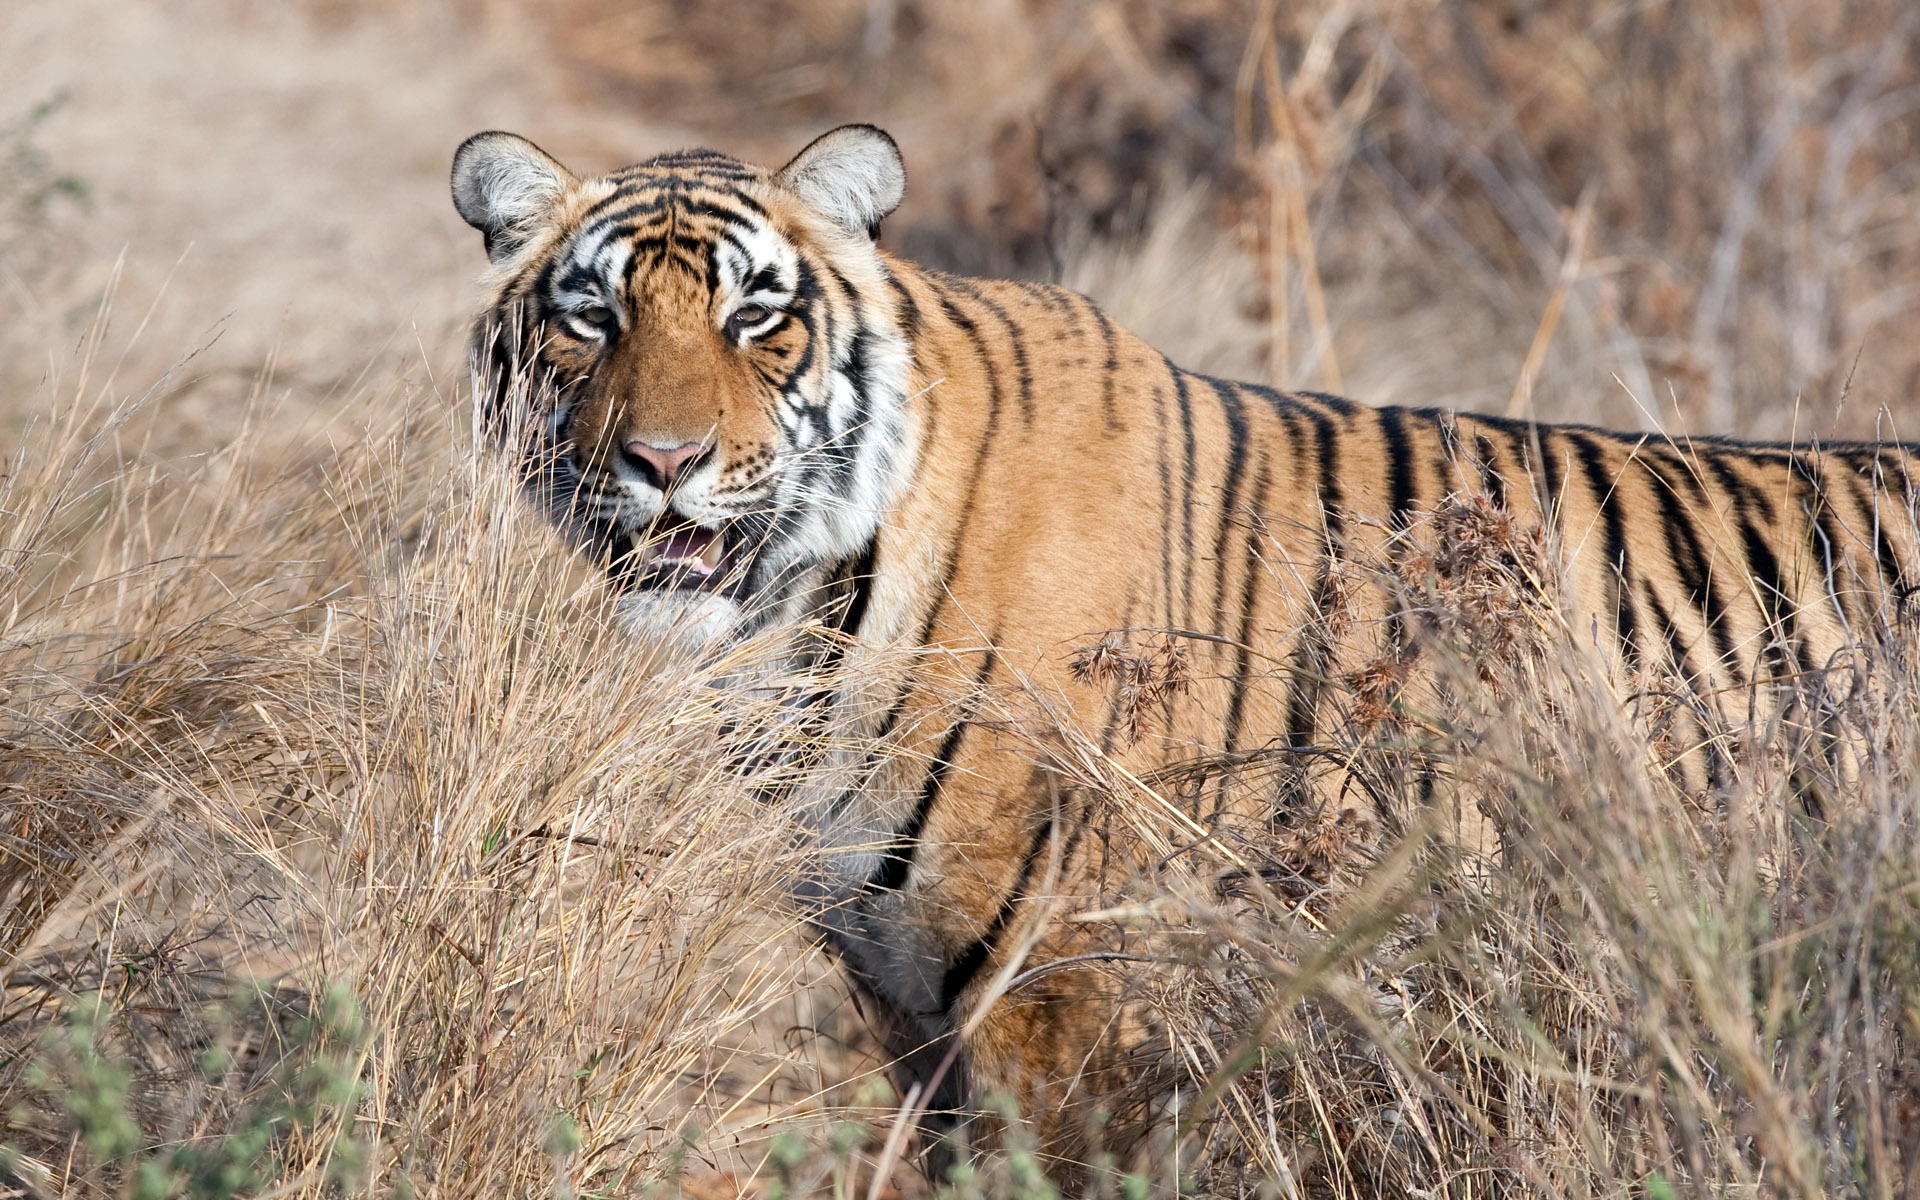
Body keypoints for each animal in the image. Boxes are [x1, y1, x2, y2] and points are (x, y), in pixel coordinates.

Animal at [453, 123, 1920, 1182]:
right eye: (591, 318)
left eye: (759, 317)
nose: (664, 462)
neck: (797, 627)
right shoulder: (906, 1008)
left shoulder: (1065, 994)